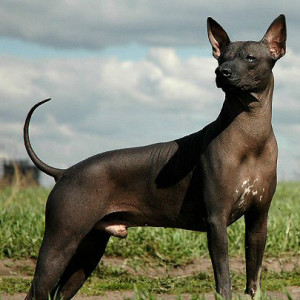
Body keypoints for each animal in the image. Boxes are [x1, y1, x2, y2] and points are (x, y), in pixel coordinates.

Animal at [23, 14, 286, 300]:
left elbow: (254, 276)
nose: (221, 72)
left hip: (89, 250)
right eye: (220, 59)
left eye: (250, 58)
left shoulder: (258, 220)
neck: (250, 137)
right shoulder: (216, 221)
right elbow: (223, 279)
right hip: (60, 242)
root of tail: (65, 172)